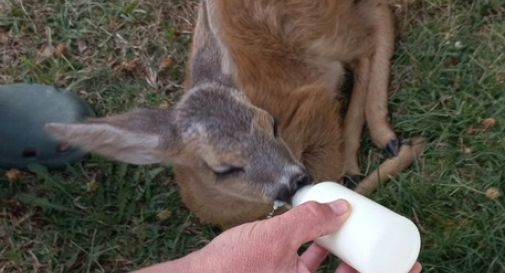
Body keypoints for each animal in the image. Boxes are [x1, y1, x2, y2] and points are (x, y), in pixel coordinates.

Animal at [48, 0, 426, 227]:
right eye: (223, 168)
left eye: (273, 124)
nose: (295, 180)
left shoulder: (312, 104)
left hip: (314, 31)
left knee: (375, 22)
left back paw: (383, 139)